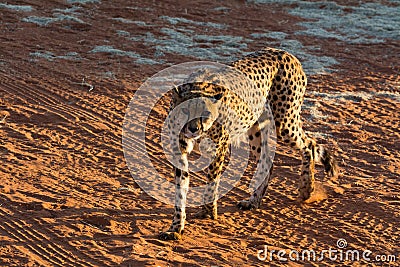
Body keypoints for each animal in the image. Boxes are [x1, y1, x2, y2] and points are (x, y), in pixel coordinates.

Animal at [159, 47, 338, 241]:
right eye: (185, 110)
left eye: (205, 113)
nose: (193, 129)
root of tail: (286, 53)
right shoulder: (179, 151)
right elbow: (180, 191)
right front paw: (176, 227)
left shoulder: (218, 149)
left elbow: (211, 184)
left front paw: (208, 212)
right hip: (256, 130)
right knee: (267, 162)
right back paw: (254, 201)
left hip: (284, 123)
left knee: (309, 144)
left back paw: (307, 188)